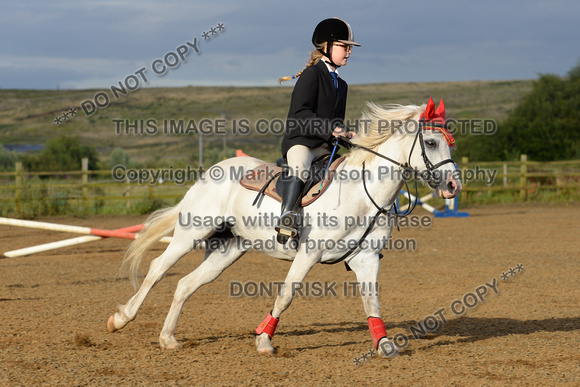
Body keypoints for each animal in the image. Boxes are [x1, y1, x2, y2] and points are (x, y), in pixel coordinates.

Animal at [107, 98, 462, 360]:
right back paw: (121, 319)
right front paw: (264, 339)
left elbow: (371, 303)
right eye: (431, 142)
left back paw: (167, 338)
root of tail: (212, 170)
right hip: (191, 233)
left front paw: (384, 344)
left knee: (185, 284)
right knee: (157, 269)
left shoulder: (366, 259)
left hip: (228, 249)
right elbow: (287, 294)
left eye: (450, 144)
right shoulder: (308, 253)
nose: (453, 186)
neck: (362, 193)